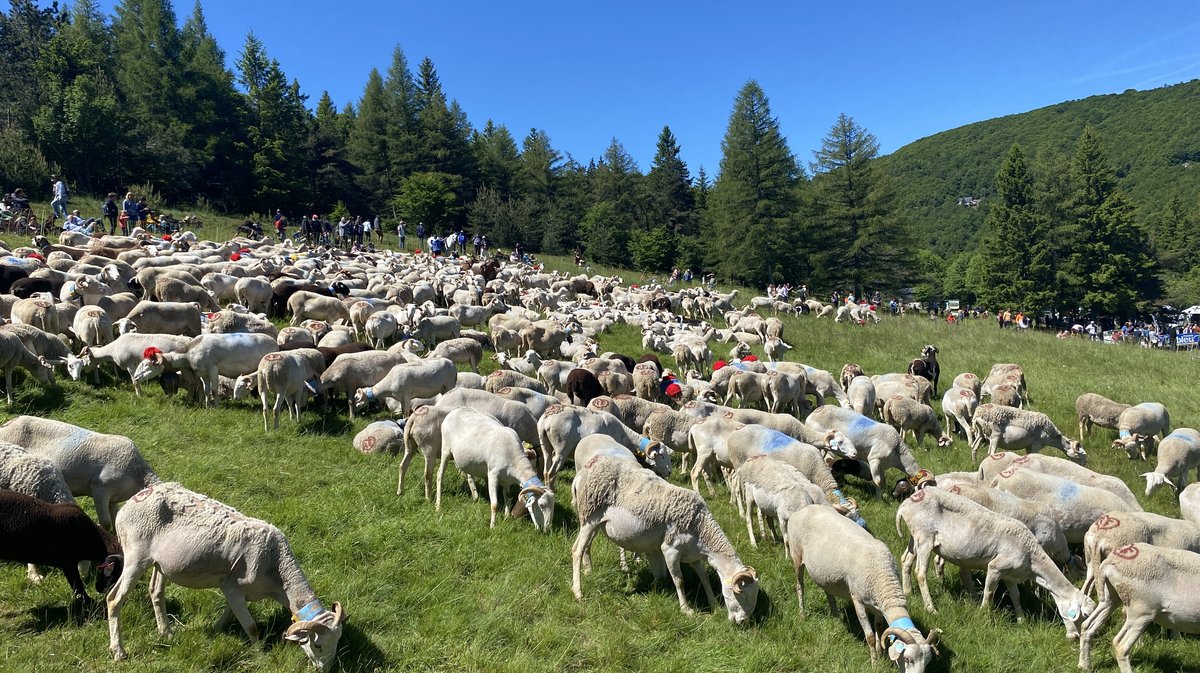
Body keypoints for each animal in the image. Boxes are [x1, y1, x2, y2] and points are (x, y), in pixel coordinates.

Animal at [0, 415, 159, 530]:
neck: (139, 475)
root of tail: (8, 423)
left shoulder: (113, 498)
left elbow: (114, 521)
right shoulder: (100, 489)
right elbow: (106, 523)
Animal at [105, 482, 345, 667]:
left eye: (337, 641)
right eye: (318, 645)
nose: (325, 669)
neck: (277, 572)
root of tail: (131, 502)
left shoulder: (237, 590)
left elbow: (230, 612)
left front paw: (217, 629)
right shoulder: (232, 586)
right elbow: (252, 627)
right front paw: (260, 656)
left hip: (158, 563)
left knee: (155, 591)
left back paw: (166, 633)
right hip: (136, 556)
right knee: (114, 599)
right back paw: (119, 651)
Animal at [571, 448, 758, 623]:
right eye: (744, 595)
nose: (742, 622)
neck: (701, 527)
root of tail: (582, 473)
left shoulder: (692, 554)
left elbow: (703, 577)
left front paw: (713, 604)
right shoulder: (670, 549)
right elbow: (679, 580)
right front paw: (686, 610)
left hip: (594, 523)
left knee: (585, 547)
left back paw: (589, 572)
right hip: (589, 516)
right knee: (577, 551)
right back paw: (578, 592)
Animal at [782, 503, 940, 667]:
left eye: (927, 662)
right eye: (908, 659)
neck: (883, 577)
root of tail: (802, 509)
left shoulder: (878, 603)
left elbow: (879, 628)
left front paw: (880, 652)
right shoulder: (857, 600)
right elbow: (869, 636)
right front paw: (875, 663)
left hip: (825, 573)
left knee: (828, 591)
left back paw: (835, 614)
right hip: (796, 556)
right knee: (800, 586)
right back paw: (802, 614)